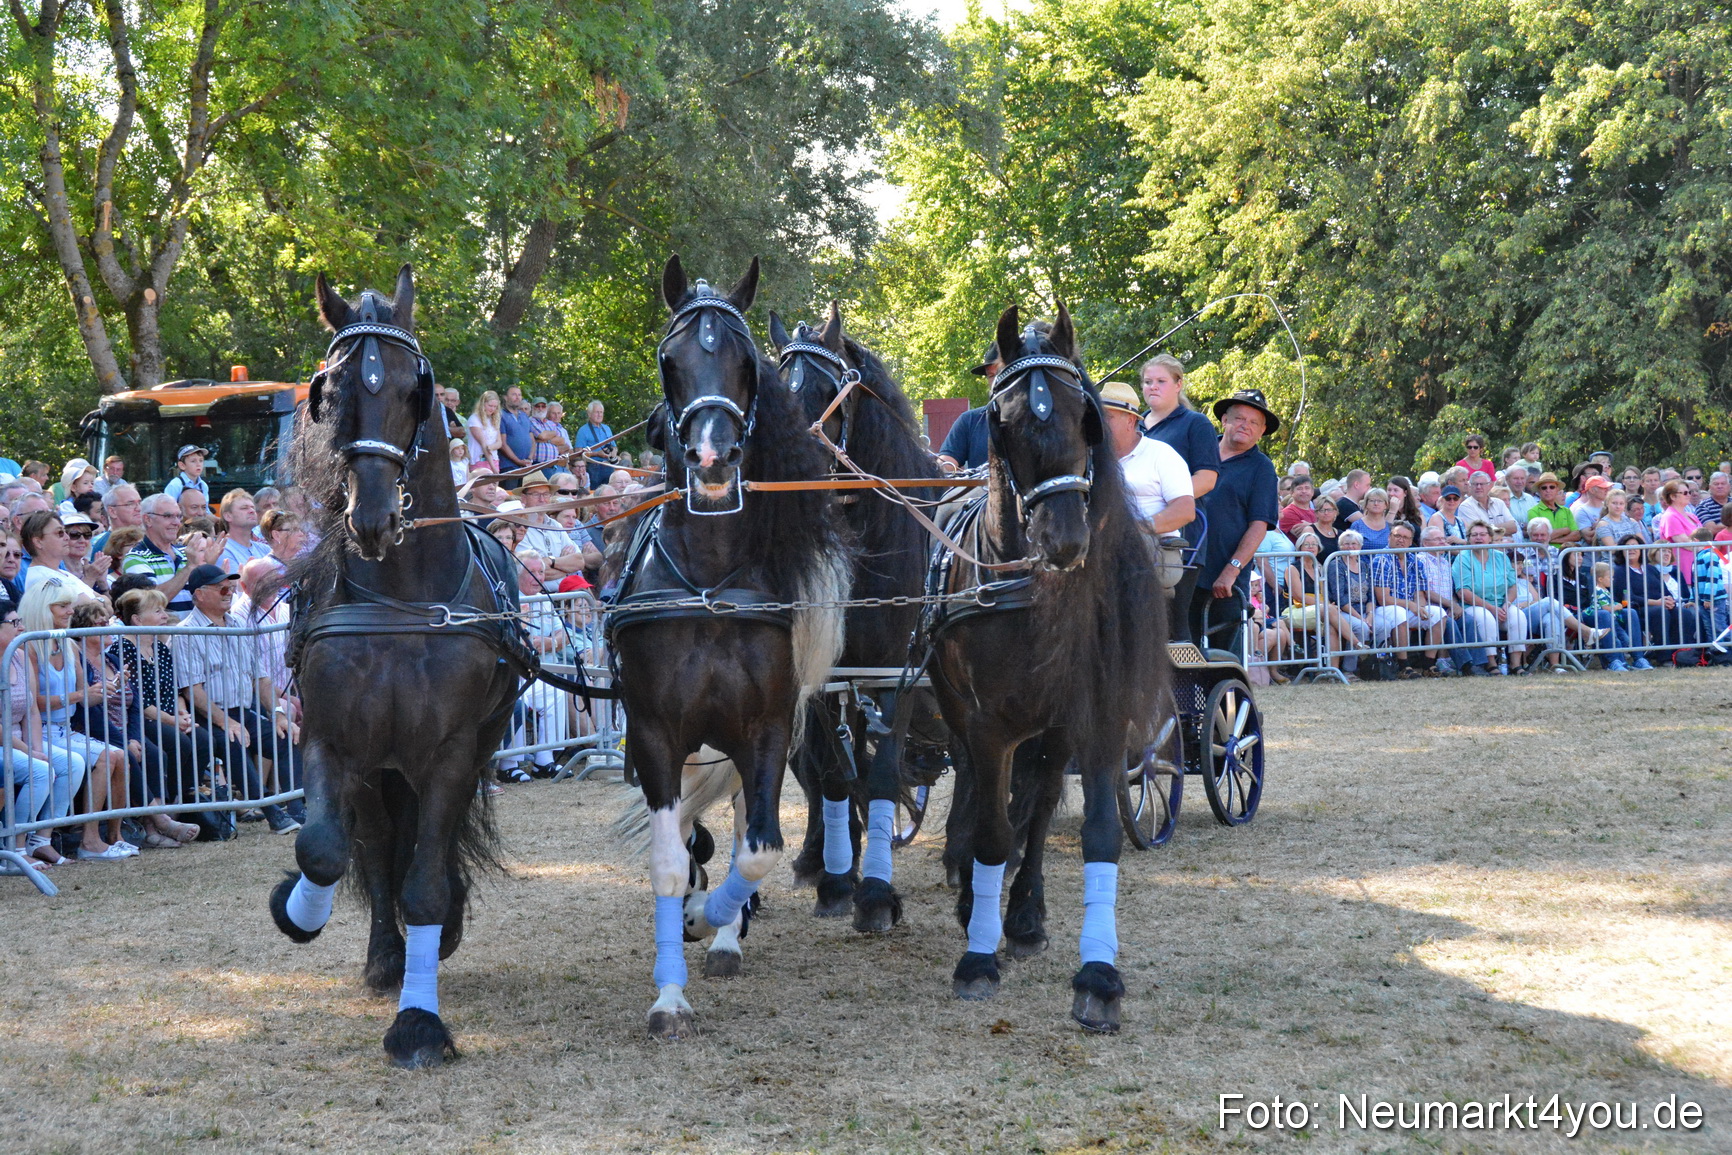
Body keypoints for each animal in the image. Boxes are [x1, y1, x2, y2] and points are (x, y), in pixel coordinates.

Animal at [266, 266, 529, 1068]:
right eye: (332, 389)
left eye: (416, 386)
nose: (373, 518)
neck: (403, 597)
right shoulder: (331, 739)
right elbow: (324, 849)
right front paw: (298, 909)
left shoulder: (449, 753)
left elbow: (425, 885)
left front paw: (419, 1022)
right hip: (379, 767)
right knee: (380, 844)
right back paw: (387, 953)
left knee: (421, 853)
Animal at [608, 256, 849, 1039]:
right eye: (670, 361)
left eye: (746, 363)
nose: (712, 459)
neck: (710, 581)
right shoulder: (655, 734)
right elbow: (666, 859)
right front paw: (669, 992)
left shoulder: (765, 729)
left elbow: (762, 848)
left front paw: (712, 920)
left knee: (744, 823)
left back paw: (720, 931)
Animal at [767, 302, 947, 932]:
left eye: (830, 389)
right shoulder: (827, 679)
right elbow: (831, 773)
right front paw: (835, 880)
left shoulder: (895, 675)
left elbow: (883, 773)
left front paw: (874, 894)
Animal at [926, 304, 1167, 1032]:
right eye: (1002, 419)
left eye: (1083, 412)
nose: (1064, 539)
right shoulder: (985, 724)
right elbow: (992, 831)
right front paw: (978, 957)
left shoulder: (1096, 716)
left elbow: (1093, 831)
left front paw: (1098, 976)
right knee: (984, 798)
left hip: (1053, 729)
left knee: (1034, 810)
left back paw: (1025, 916)